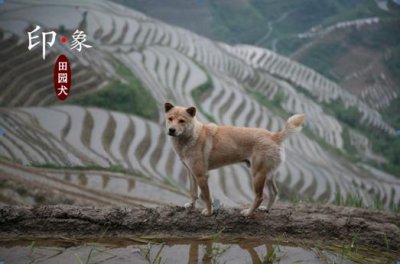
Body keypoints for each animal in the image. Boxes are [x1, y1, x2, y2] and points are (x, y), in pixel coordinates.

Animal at [164, 102, 304, 216]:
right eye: (170, 119)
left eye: (182, 121)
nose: (171, 130)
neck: (192, 135)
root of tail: (274, 136)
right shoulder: (191, 172)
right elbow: (193, 192)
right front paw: (191, 205)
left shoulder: (201, 175)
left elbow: (207, 197)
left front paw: (209, 212)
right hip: (268, 174)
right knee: (274, 193)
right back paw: (266, 209)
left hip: (257, 174)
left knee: (259, 197)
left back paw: (248, 213)